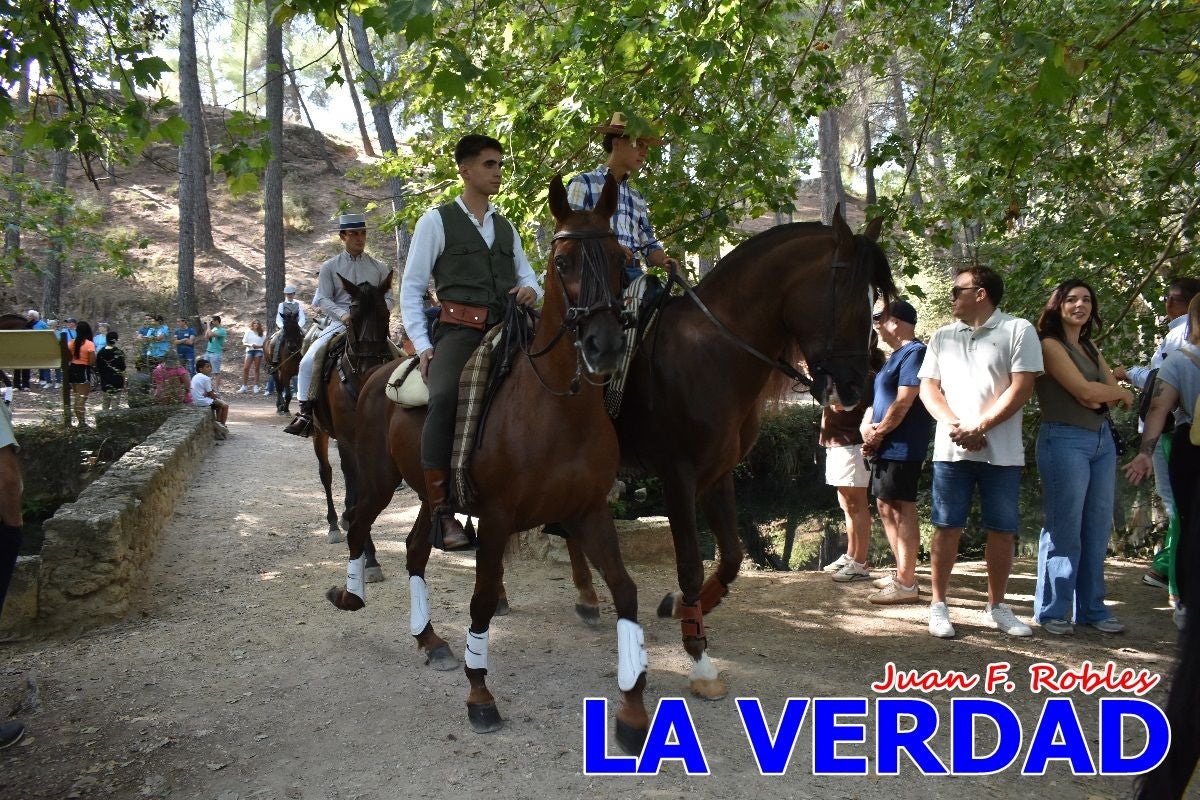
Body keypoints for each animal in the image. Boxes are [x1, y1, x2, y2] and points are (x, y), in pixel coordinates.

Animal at [326, 174, 653, 752]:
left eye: (621, 259)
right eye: (563, 262)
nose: (605, 345)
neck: (556, 408)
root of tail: (374, 373)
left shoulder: (589, 512)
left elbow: (626, 592)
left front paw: (632, 709)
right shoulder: (498, 519)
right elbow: (481, 601)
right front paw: (480, 694)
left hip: (427, 494)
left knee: (415, 550)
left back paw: (430, 639)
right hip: (379, 480)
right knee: (359, 524)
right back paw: (351, 593)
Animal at [559, 210, 896, 699]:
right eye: (851, 300)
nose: (856, 388)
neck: (713, 354)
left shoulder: (719, 474)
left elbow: (733, 558)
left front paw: (680, 608)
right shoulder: (677, 476)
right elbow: (689, 565)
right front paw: (698, 656)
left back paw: (586, 600)